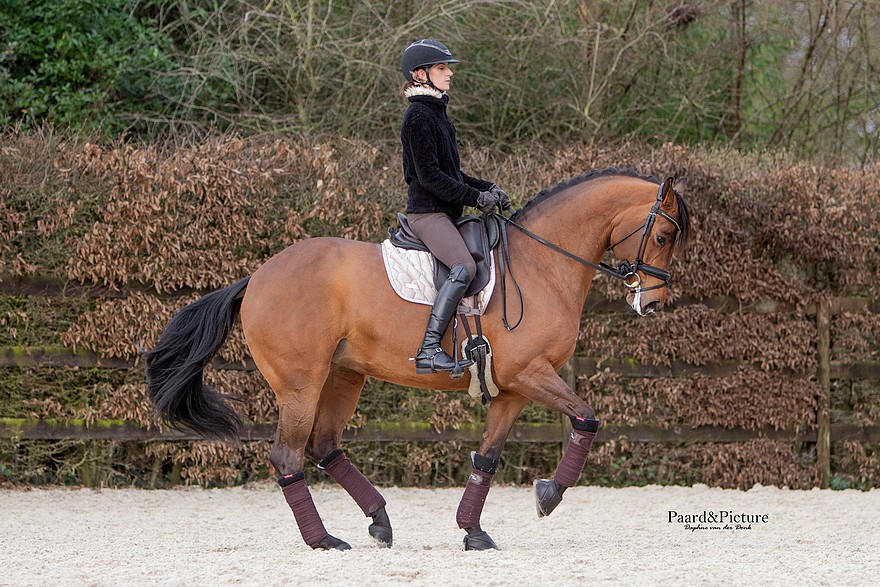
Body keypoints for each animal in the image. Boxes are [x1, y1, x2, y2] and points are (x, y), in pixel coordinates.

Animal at [146, 169, 688, 552]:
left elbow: (487, 457)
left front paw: (473, 531)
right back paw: (323, 539)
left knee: (325, 446)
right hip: (301, 385)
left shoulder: (513, 388)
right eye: (663, 237)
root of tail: (257, 276)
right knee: (288, 456)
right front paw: (548, 495)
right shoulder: (532, 373)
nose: (653, 304)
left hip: (345, 376)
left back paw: (380, 521)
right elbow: (587, 419)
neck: (541, 263)